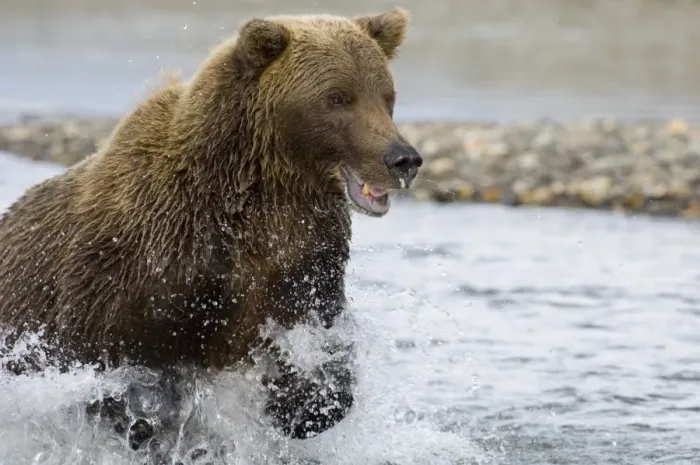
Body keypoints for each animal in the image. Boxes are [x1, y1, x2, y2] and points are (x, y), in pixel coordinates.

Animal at [0, 6, 422, 450]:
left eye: (386, 96)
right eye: (338, 97)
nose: (403, 159)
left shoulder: (306, 259)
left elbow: (321, 336)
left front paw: (300, 403)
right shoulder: (140, 273)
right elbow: (123, 378)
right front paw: (154, 426)